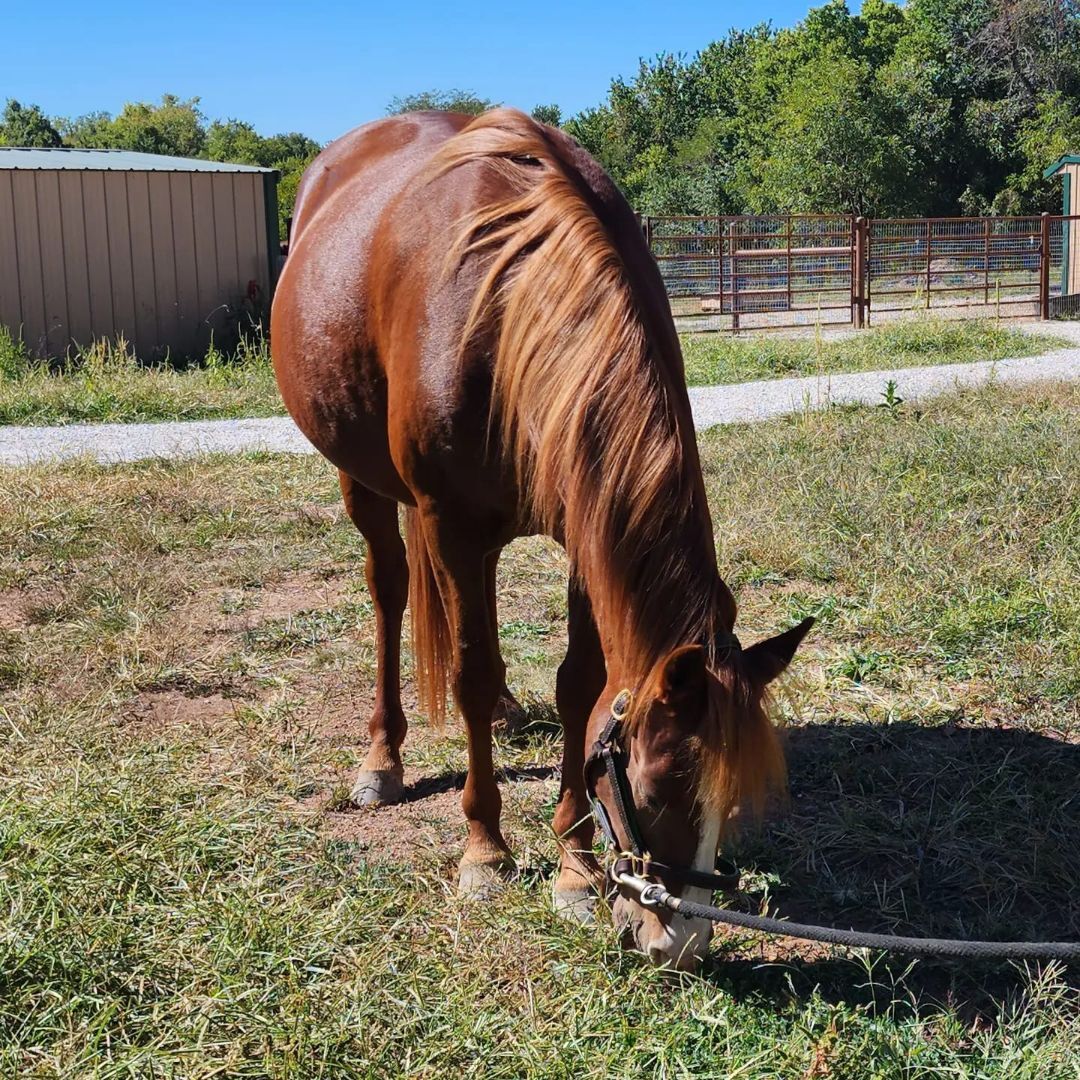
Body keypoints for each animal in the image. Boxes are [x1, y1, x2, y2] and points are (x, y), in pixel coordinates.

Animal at [270, 108, 812, 970]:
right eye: (654, 789)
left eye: (731, 803)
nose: (678, 940)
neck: (503, 308)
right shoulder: (452, 525)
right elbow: (468, 669)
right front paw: (485, 852)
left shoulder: (586, 535)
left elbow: (578, 685)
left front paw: (574, 865)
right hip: (366, 484)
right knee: (391, 593)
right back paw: (383, 760)